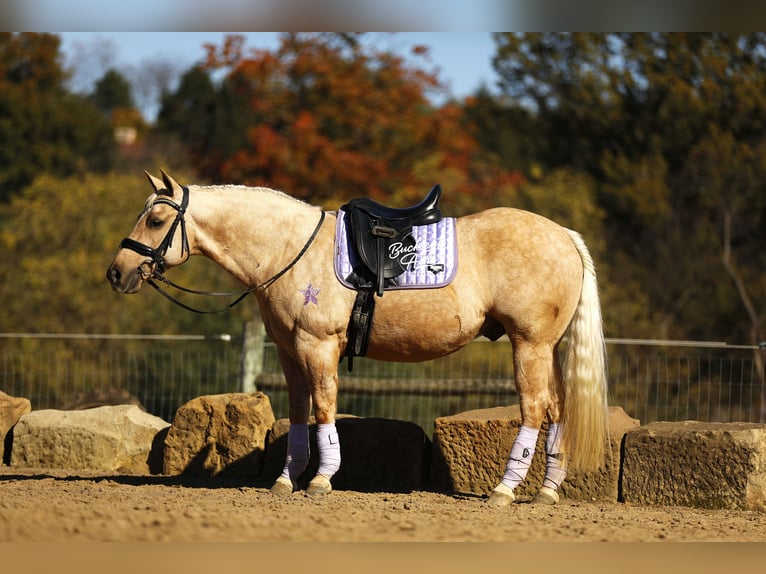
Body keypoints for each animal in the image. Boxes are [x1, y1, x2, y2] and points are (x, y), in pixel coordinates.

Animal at [106, 170, 609, 506]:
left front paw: (321, 479)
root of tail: (564, 235)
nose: (116, 273)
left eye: (155, 220)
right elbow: (298, 411)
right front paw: (287, 479)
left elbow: (324, 408)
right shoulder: (289, 352)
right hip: (546, 349)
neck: (287, 249)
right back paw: (547, 491)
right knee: (557, 409)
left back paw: (505, 490)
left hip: (529, 345)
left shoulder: (318, 345)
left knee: (534, 409)